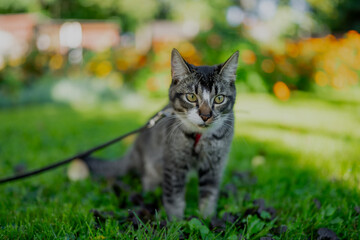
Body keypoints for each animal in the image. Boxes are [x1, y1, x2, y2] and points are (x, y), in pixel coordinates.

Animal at [85, 48, 239, 219]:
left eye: (219, 99)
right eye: (191, 97)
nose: (206, 116)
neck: (199, 136)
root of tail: (134, 150)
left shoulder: (214, 164)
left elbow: (209, 194)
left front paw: (207, 218)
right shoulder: (173, 162)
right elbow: (174, 196)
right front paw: (176, 221)